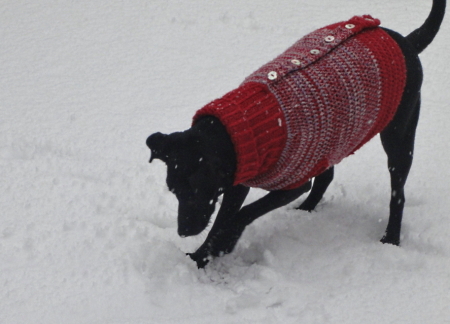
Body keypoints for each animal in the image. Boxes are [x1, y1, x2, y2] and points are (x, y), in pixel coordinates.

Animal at [146, 0, 444, 268]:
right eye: (173, 190)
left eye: (197, 189)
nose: (183, 230)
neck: (238, 128)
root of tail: (405, 41)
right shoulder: (239, 179)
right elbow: (222, 218)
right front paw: (202, 256)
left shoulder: (290, 183)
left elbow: (242, 214)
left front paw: (224, 243)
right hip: (333, 139)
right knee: (327, 175)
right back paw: (306, 209)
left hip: (399, 135)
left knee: (397, 193)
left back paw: (391, 238)